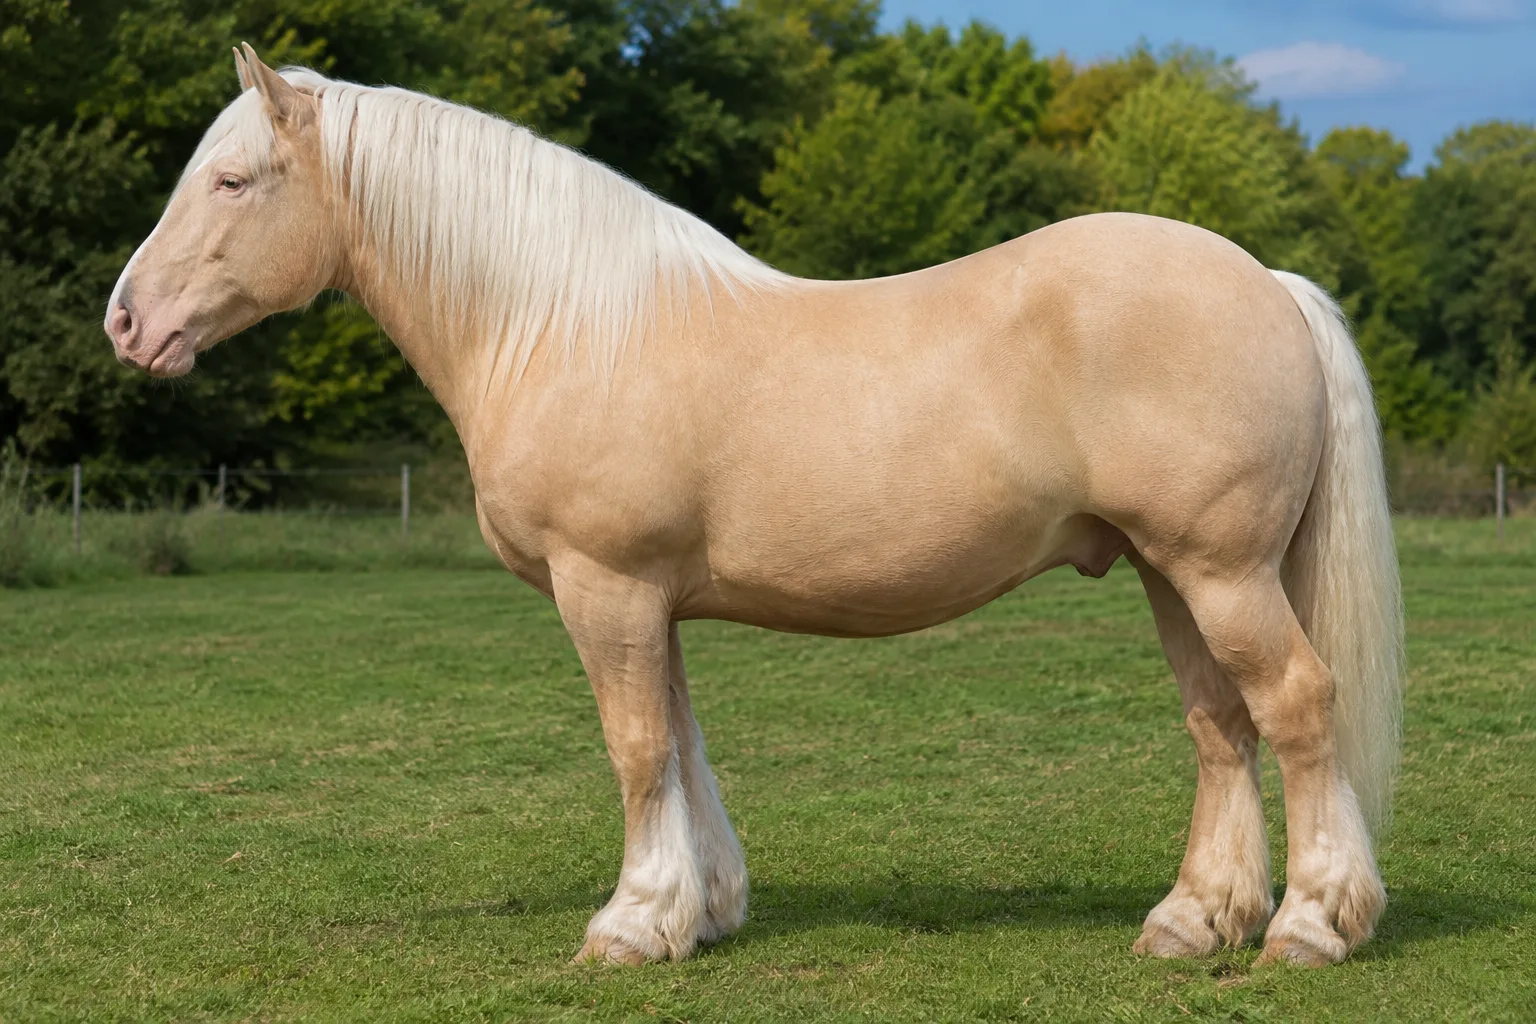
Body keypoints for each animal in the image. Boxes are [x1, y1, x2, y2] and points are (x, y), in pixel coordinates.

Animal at [105, 44, 1403, 967]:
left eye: (232, 180)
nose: (127, 321)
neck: (559, 325)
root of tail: (1267, 279)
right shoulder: (650, 600)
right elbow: (682, 744)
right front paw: (705, 907)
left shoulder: (606, 587)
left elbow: (634, 749)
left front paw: (631, 924)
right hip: (1168, 570)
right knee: (1221, 726)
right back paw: (1194, 921)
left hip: (1219, 570)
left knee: (1295, 704)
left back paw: (1309, 925)